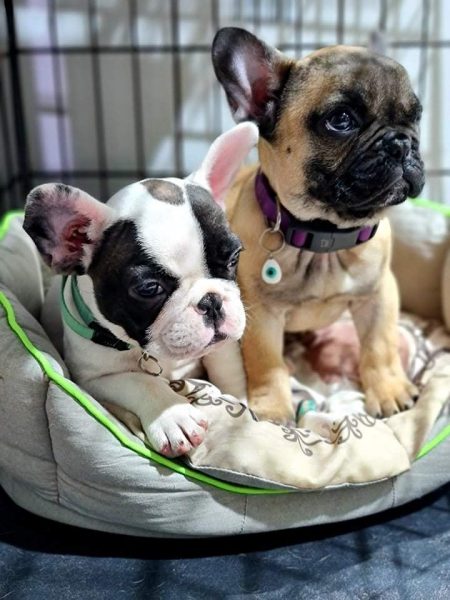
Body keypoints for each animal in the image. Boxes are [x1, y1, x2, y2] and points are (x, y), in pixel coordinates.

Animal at [23, 122, 258, 457]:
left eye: (234, 257)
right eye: (149, 288)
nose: (211, 302)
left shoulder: (222, 346)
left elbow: (227, 367)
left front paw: (240, 402)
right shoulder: (94, 377)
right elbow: (140, 383)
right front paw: (173, 416)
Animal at [212, 27, 425, 423]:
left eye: (415, 116)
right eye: (341, 120)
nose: (402, 142)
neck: (325, 236)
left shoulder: (379, 296)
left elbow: (379, 346)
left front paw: (388, 390)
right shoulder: (261, 316)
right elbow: (267, 363)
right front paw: (273, 409)